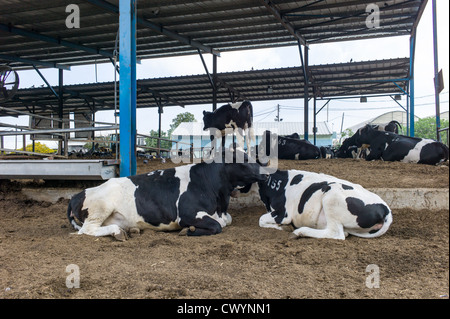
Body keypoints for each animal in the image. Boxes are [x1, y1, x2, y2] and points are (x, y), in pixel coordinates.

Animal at [66, 156, 264, 241]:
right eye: (243, 160)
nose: (266, 172)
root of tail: (77, 194)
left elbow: (225, 222)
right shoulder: (186, 214)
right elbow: (217, 226)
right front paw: (188, 231)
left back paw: (130, 230)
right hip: (100, 207)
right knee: (87, 230)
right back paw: (118, 232)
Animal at [237, 170, 392, 240]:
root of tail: (386, 210)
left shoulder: (283, 214)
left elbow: (261, 220)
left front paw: (283, 227)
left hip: (331, 196)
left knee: (336, 233)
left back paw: (300, 231)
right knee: (343, 232)